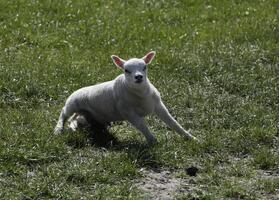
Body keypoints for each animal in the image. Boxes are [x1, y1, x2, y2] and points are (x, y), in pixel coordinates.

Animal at [54, 50, 198, 145]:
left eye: (145, 67)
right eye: (126, 70)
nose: (138, 77)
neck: (141, 94)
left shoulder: (158, 105)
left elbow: (173, 122)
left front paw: (190, 137)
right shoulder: (128, 112)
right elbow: (142, 125)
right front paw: (153, 141)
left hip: (86, 116)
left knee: (74, 120)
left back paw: (74, 127)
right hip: (72, 103)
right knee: (64, 113)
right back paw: (58, 129)